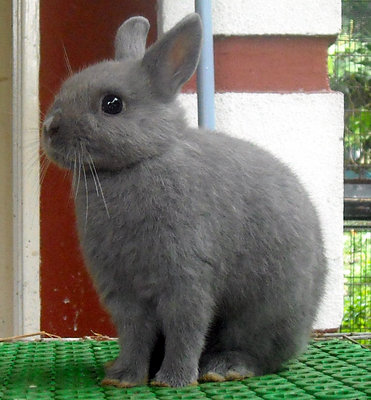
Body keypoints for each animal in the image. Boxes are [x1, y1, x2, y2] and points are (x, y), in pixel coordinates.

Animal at [42, 13, 328, 388]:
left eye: (112, 104)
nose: (50, 127)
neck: (142, 161)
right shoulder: (123, 293)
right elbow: (134, 335)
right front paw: (123, 378)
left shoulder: (186, 279)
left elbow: (185, 330)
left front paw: (173, 381)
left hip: (266, 313)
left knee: (258, 353)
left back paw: (224, 368)